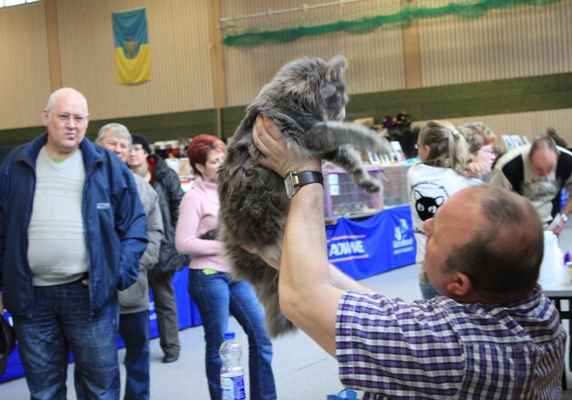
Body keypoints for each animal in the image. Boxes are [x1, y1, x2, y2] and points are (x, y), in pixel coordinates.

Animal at [217, 55, 392, 338]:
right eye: (340, 99)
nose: (342, 114)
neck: (296, 98)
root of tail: (234, 236)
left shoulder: (323, 144)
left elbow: (350, 157)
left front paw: (368, 181)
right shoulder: (311, 132)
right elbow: (349, 132)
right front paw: (378, 142)